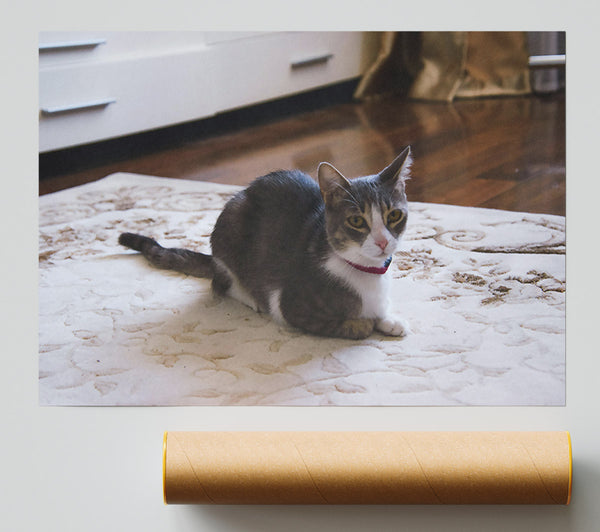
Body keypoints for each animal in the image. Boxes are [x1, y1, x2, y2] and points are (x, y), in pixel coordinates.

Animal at [120, 144, 414, 340]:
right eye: (356, 221)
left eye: (394, 215)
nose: (382, 242)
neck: (368, 275)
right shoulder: (291, 307)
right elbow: (357, 325)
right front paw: (368, 322)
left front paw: (390, 319)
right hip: (229, 231)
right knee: (222, 284)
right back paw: (250, 297)